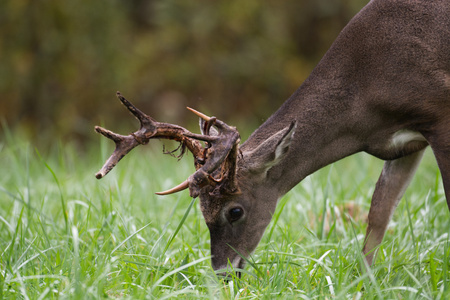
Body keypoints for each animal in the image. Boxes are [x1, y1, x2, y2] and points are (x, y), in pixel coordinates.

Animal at [96, 0, 450, 276]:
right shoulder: (402, 143)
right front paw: (364, 282)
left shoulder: (439, 112)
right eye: (201, 211)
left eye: (234, 211)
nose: (223, 272)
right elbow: (378, 213)